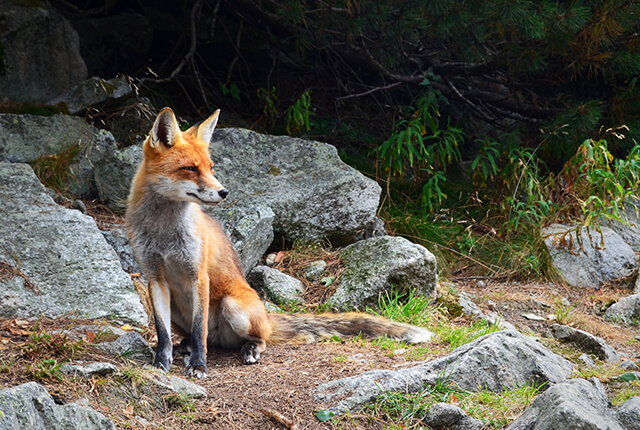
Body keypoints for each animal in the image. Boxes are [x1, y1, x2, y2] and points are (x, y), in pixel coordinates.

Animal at [126, 108, 436, 380]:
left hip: (233, 306)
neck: (164, 233)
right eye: (190, 168)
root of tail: (265, 316)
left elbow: (199, 327)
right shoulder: (154, 278)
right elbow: (162, 333)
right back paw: (187, 346)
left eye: (211, 168)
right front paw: (160, 363)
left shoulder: (198, 275)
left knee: (249, 338)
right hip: (179, 311)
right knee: (199, 336)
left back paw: (248, 349)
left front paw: (199, 366)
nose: (224, 191)